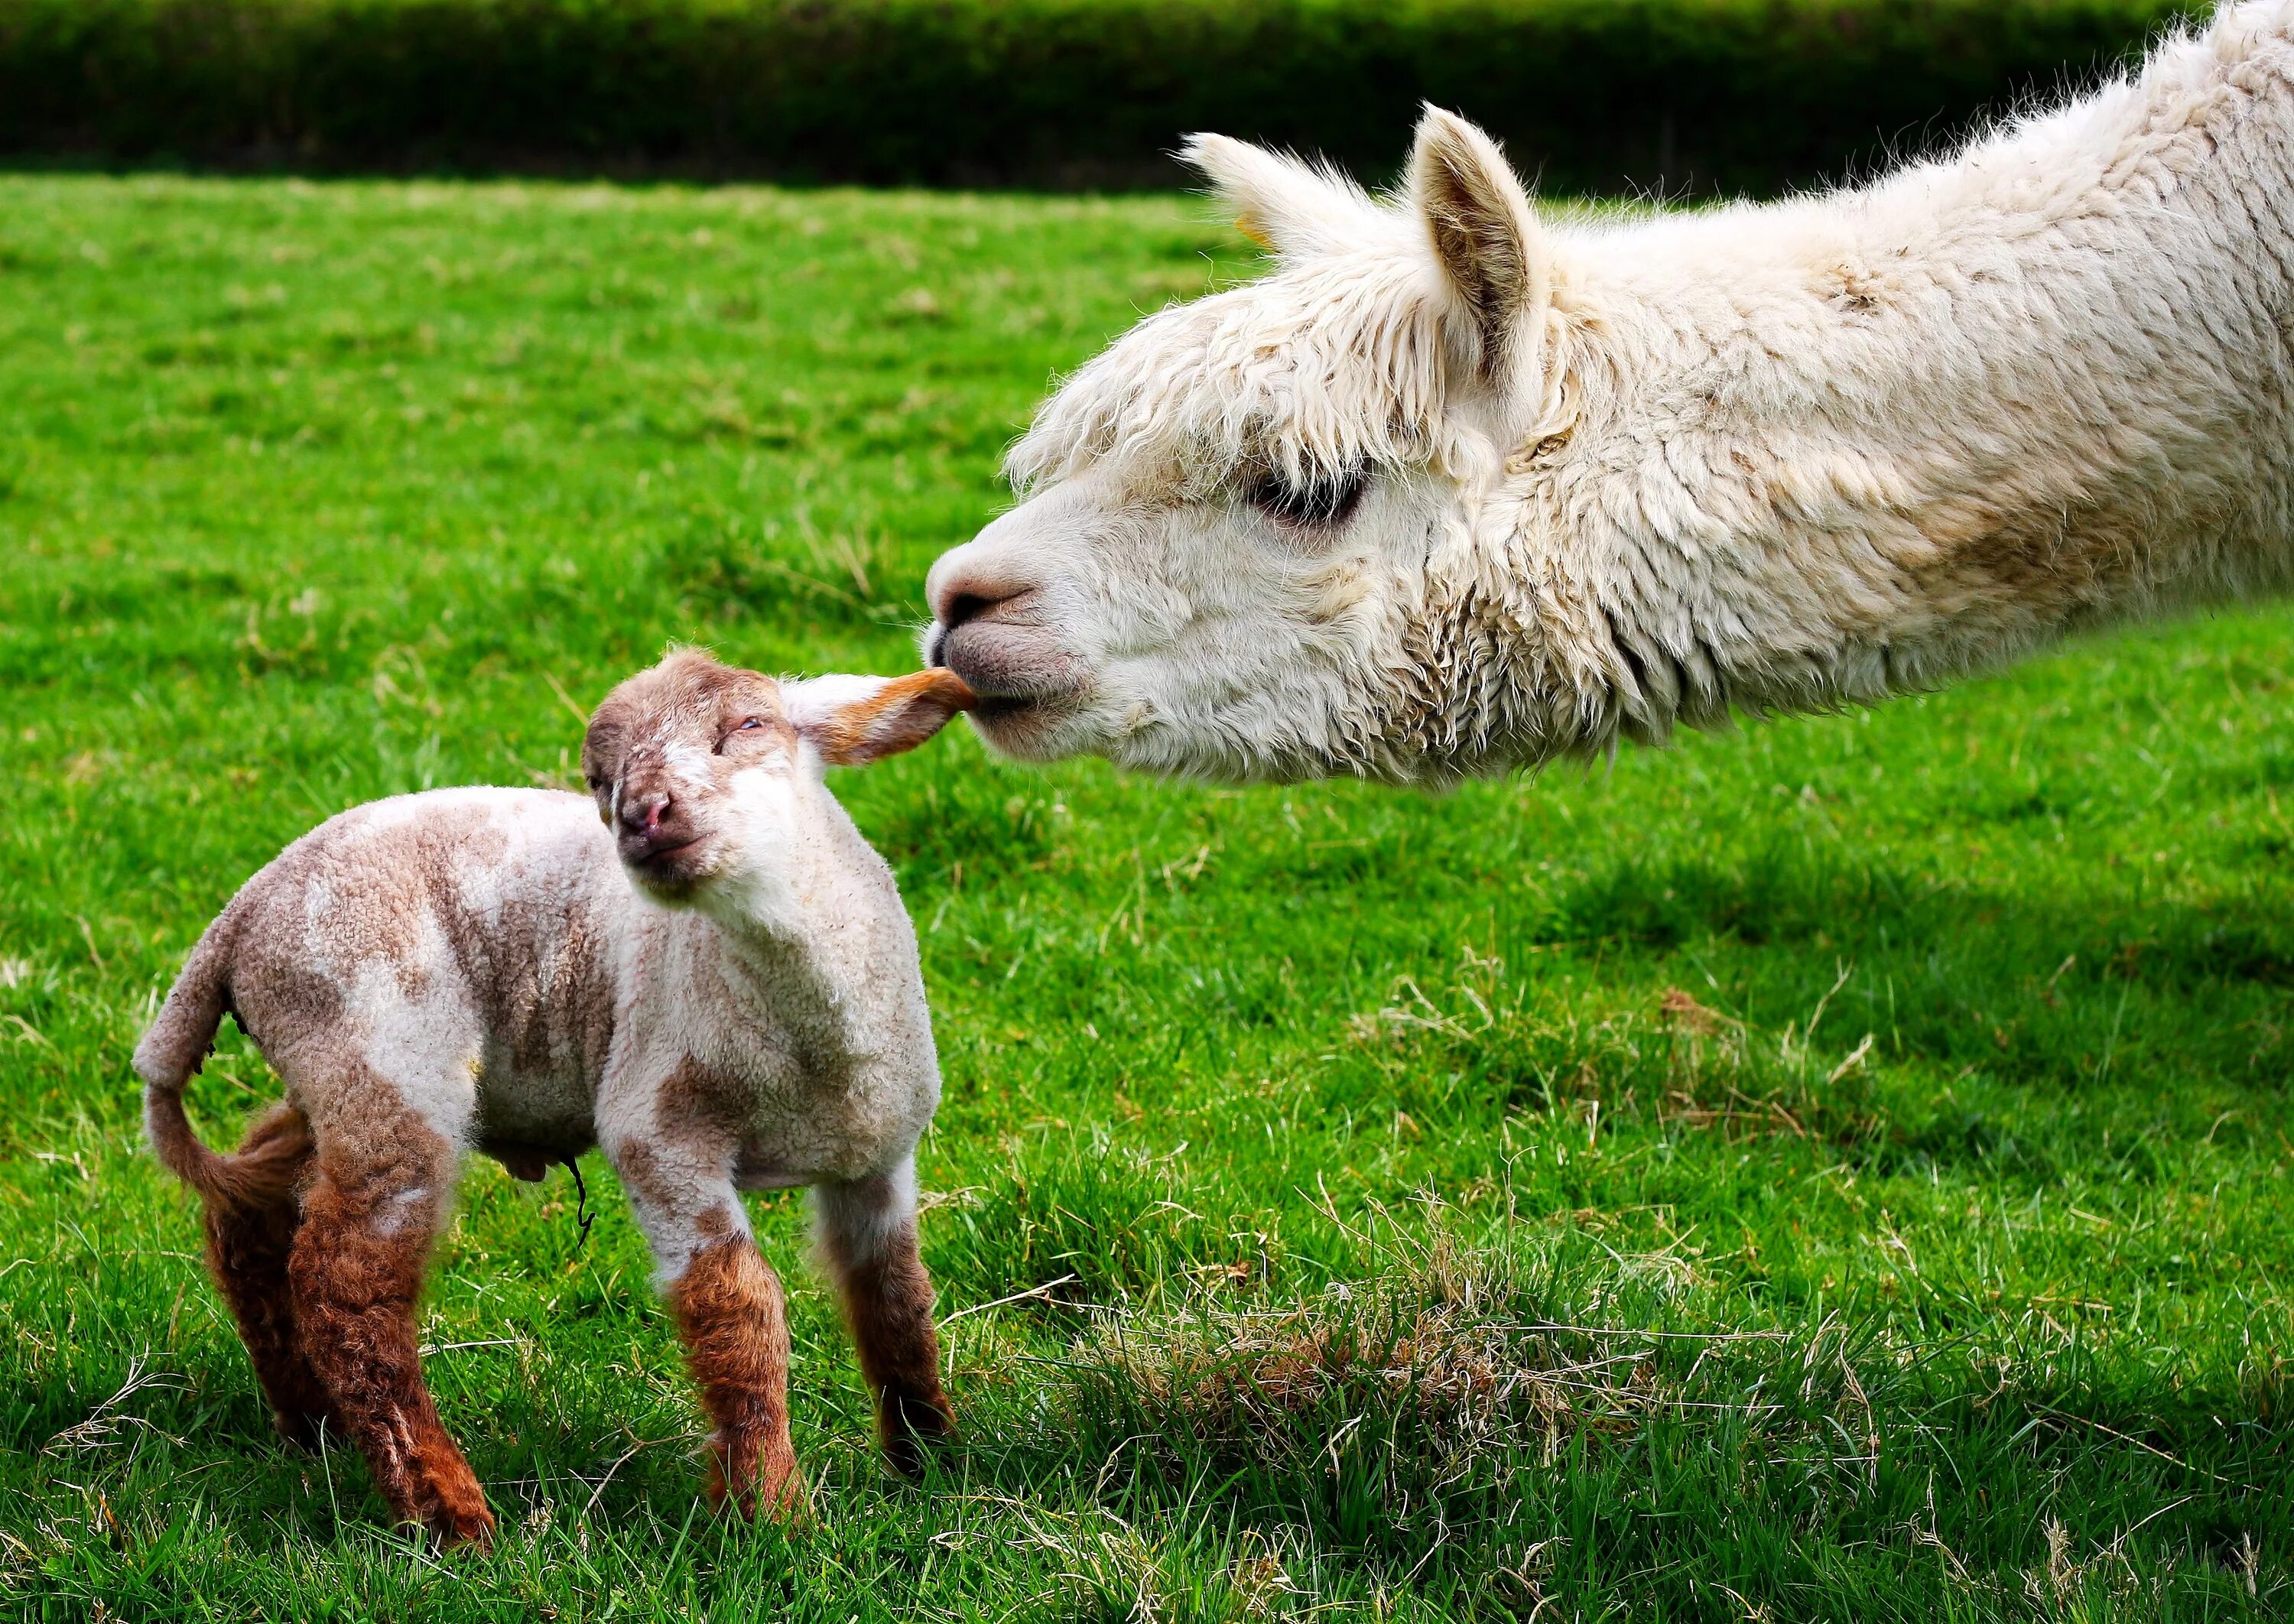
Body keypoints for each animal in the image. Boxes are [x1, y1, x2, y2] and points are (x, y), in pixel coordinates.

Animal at [132, 651, 977, 1551]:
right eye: (601, 782)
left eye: (750, 726)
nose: (643, 815)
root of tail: (236, 921)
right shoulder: (657, 1129)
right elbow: (738, 1308)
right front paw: (772, 1513)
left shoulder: (876, 1154)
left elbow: (895, 1295)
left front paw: (929, 1458)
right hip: (386, 1057)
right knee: (345, 1287)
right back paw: (449, 1514)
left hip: (332, 1074)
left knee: (254, 1210)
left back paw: (311, 1428)